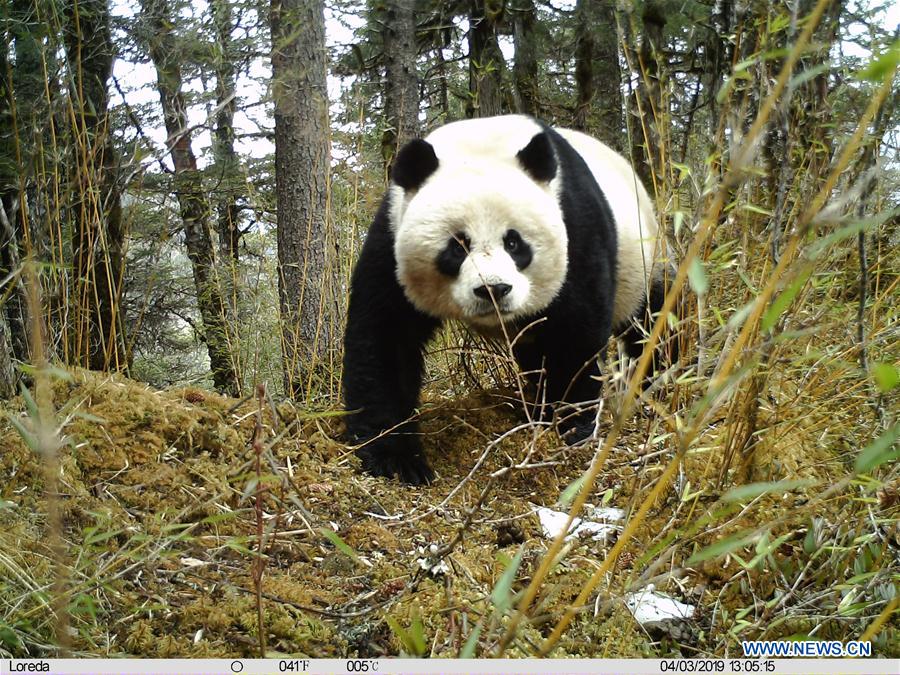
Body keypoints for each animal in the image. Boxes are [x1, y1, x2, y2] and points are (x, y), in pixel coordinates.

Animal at [343, 115, 672, 484]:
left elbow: (576, 333)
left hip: (646, 256)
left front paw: (571, 425)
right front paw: (396, 458)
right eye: (457, 246)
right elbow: (386, 337)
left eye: (514, 243)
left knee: (652, 322)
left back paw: (655, 379)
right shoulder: (391, 239)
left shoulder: (576, 229)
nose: (493, 289)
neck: (481, 141)